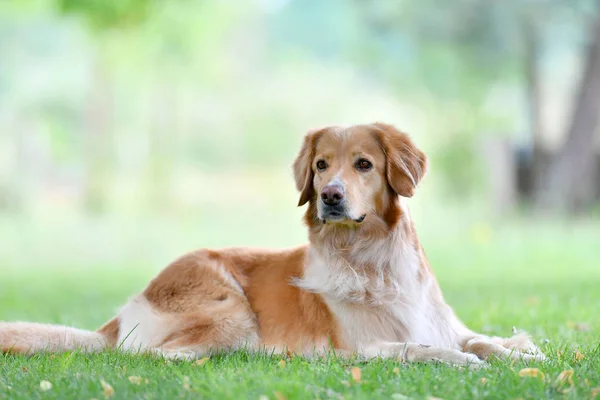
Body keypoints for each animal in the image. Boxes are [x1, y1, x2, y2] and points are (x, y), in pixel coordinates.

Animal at [0, 123, 544, 368]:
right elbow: (417, 347)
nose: (329, 196)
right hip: (230, 309)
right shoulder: (359, 347)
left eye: (363, 164)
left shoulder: (445, 322)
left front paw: (524, 355)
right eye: (321, 165)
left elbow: (481, 339)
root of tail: (116, 321)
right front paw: (462, 361)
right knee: (156, 356)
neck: (373, 262)